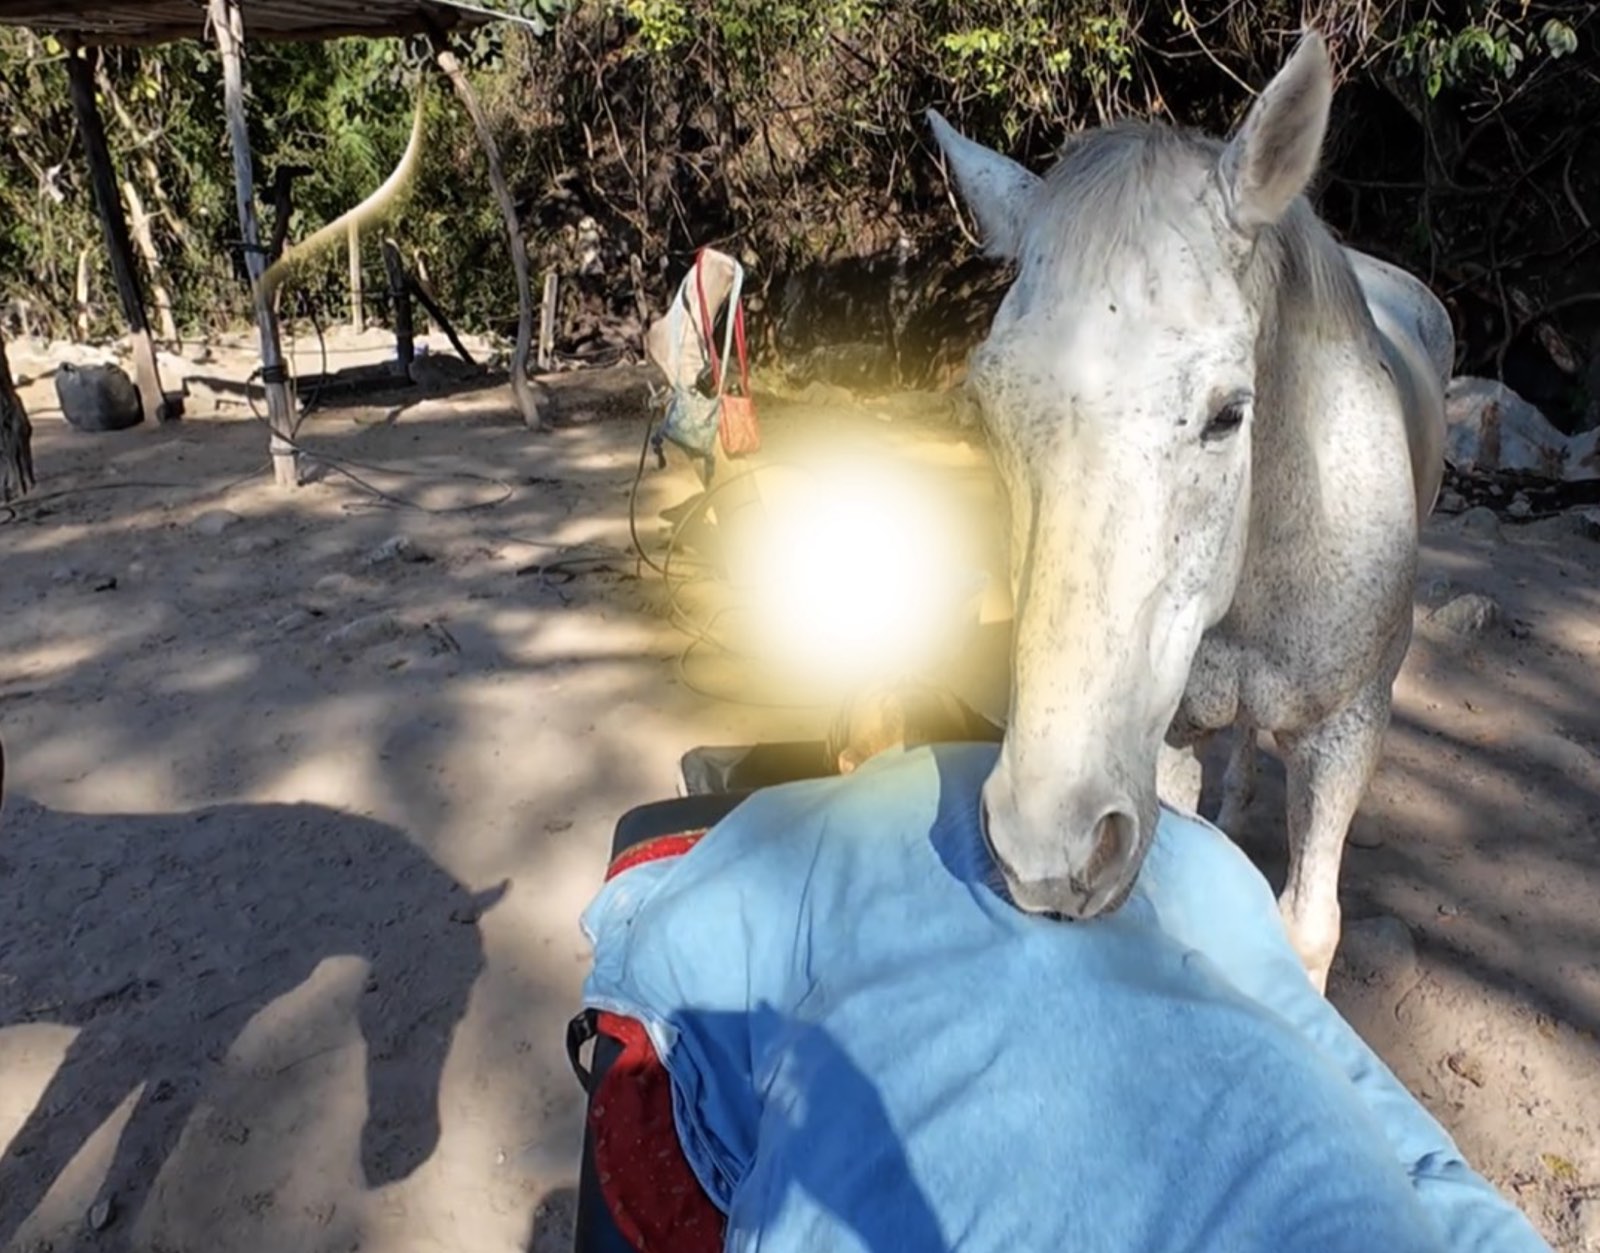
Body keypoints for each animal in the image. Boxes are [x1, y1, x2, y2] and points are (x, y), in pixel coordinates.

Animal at [927, 31, 1448, 992]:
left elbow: (1307, 929)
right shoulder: (1160, 740)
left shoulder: (1347, 734)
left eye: (1228, 414)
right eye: (985, 407)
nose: (1044, 851)